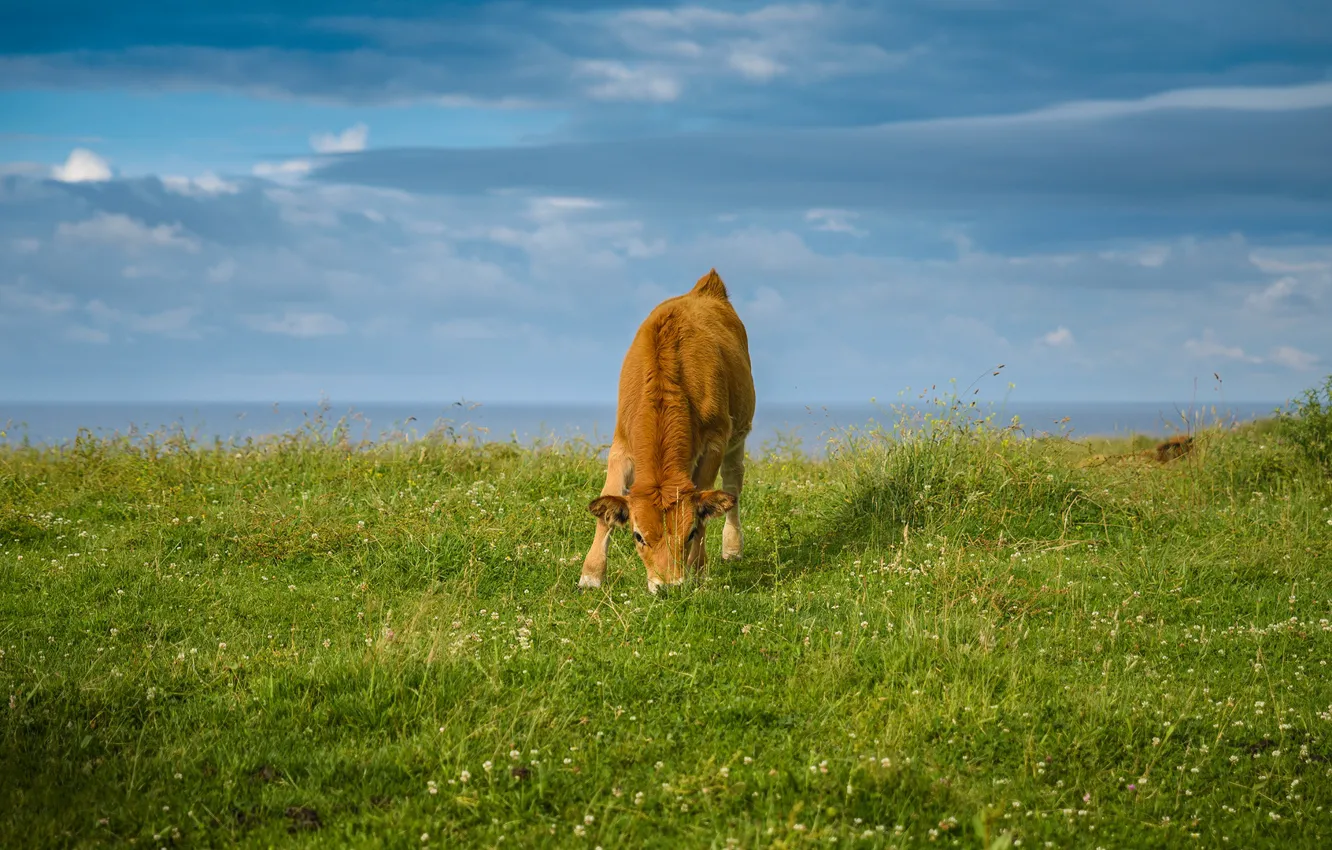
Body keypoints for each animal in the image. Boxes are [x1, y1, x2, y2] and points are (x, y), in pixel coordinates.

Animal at [580, 269, 756, 594]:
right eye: (638, 536)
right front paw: (591, 574)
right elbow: (607, 504)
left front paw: (698, 570)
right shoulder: (621, 444)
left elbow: (706, 502)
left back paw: (732, 548)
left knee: (733, 484)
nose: (668, 587)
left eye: (690, 533)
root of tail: (706, 288)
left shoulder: (714, 443)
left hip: (738, 434)